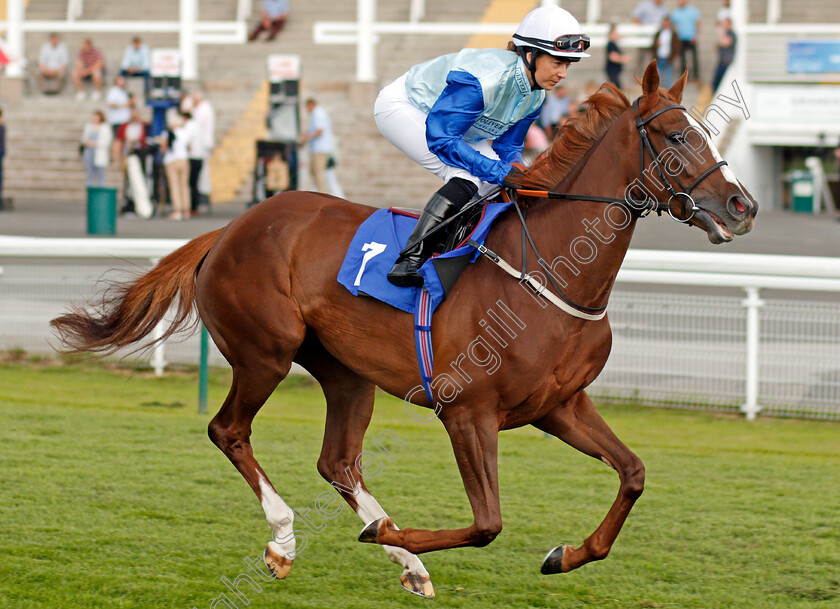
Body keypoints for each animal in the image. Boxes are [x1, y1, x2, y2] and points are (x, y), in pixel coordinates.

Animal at [54, 64, 760, 596]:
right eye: (675, 136)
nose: (742, 207)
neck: (549, 272)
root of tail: (229, 228)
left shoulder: (559, 405)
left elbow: (633, 473)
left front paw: (565, 554)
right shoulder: (468, 412)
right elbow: (486, 523)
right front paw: (390, 535)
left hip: (345, 371)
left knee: (337, 460)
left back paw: (406, 563)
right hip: (265, 355)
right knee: (229, 430)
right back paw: (287, 541)